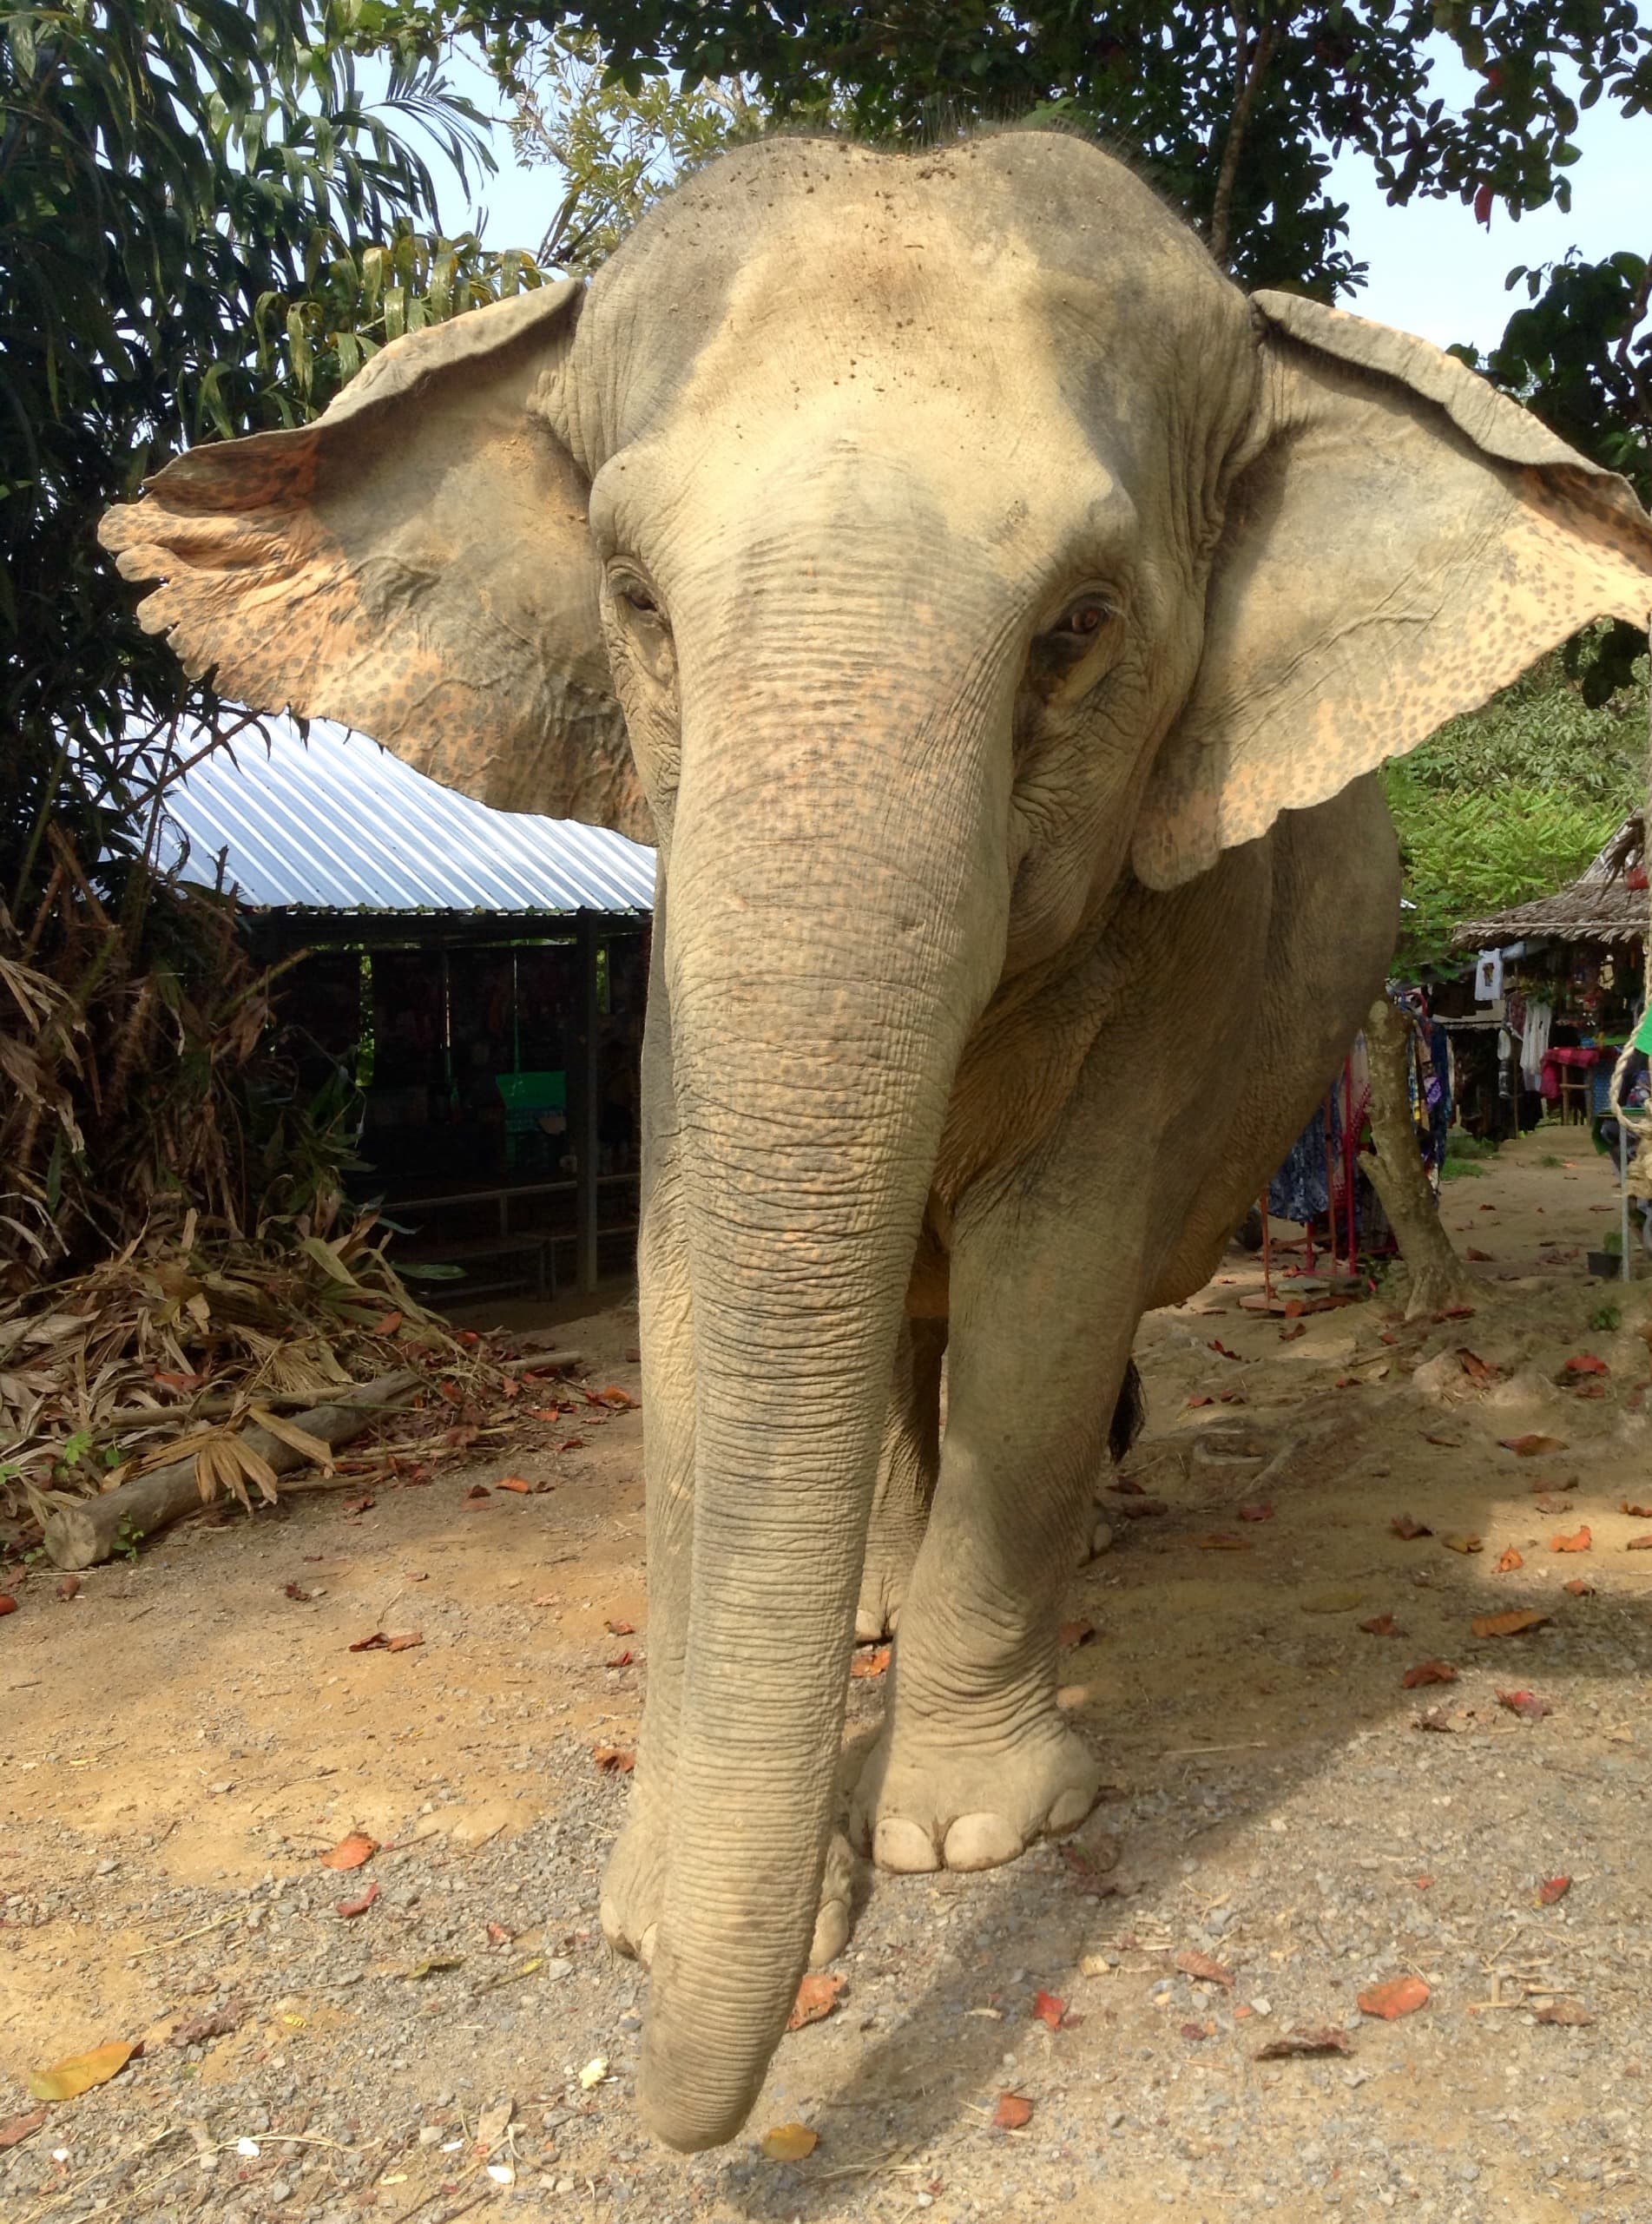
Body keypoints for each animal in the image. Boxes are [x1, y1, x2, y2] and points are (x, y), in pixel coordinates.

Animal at [100, 128, 1652, 2153]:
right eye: (635, 598)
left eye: (1079, 630)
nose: (705, 2062)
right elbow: (686, 1291)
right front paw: (657, 1896)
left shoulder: (1172, 949)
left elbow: (1046, 1286)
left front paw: (957, 1836)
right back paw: (869, 1609)